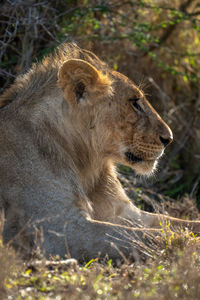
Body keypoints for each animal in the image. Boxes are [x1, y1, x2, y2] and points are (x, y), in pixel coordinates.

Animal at [0, 43, 199, 262]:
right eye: (134, 102)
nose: (169, 138)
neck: (85, 162)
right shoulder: (57, 228)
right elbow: (145, 235)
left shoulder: (127, 213)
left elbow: (178, 224)